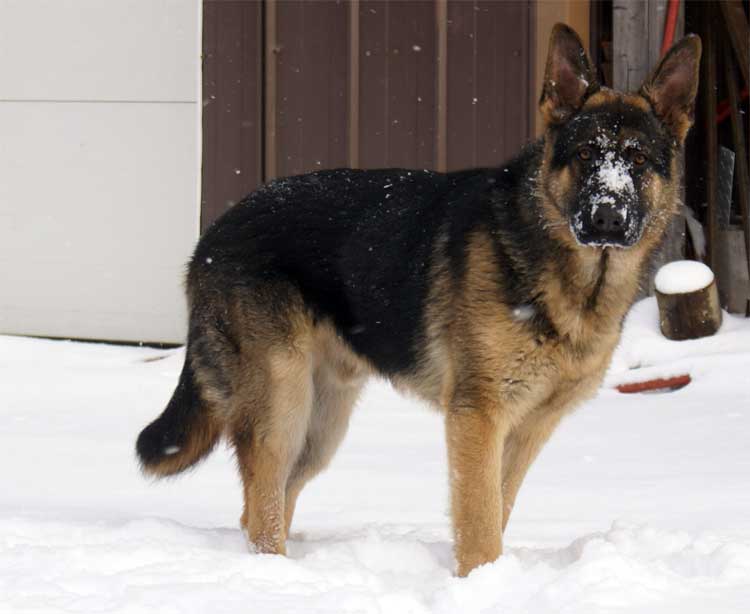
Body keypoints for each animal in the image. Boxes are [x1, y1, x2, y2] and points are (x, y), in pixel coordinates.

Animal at [138, 27, 704, 576]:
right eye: (585, 154)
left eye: (637, 159)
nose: (607, 217)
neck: (571, 277)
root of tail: (213, 232)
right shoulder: (477, 416)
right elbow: (478, 521)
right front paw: (480, 584)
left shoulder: (527, 430)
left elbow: (498, 508)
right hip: (282, 405)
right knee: (262, 510)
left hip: (321, 425)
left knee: (265, 501)